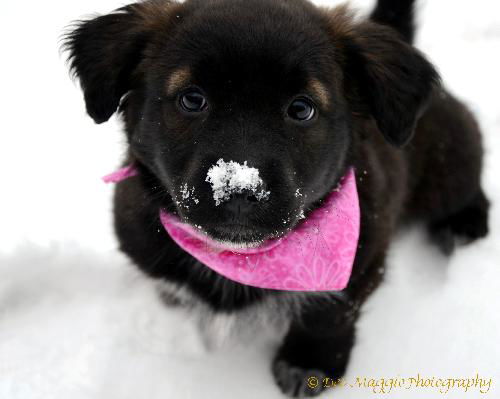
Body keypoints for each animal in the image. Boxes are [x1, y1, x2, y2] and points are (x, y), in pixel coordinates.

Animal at [65, 0, 488, 396]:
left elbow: (326, 314)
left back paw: (464, 225)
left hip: (450, 159)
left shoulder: (364, 258)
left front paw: (308, 366)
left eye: (301, 108)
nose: (239, 190)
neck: (241, 261)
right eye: (192, 99)